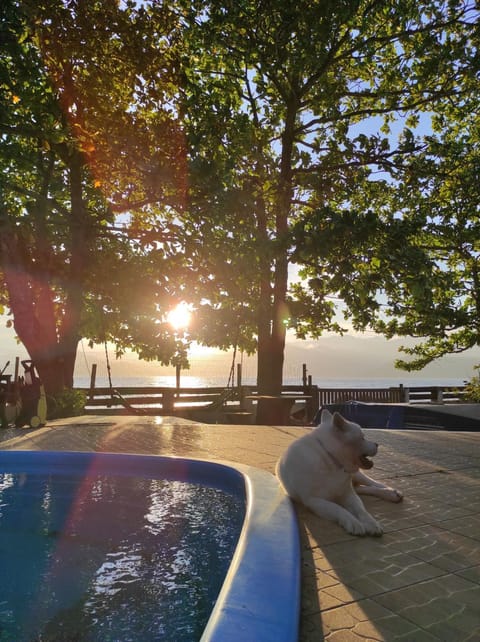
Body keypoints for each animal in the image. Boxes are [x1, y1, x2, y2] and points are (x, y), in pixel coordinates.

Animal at [276, 408, 404, 532]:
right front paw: (353, 522)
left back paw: (390, 492)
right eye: (362, 438)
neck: (329, 459)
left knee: (371, 483)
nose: (377, 444)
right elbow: (338, 509)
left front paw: (371, 522)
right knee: (361, 488)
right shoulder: (315, 501)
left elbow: (360, 509)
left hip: (356, 475)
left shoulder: (348, 494)